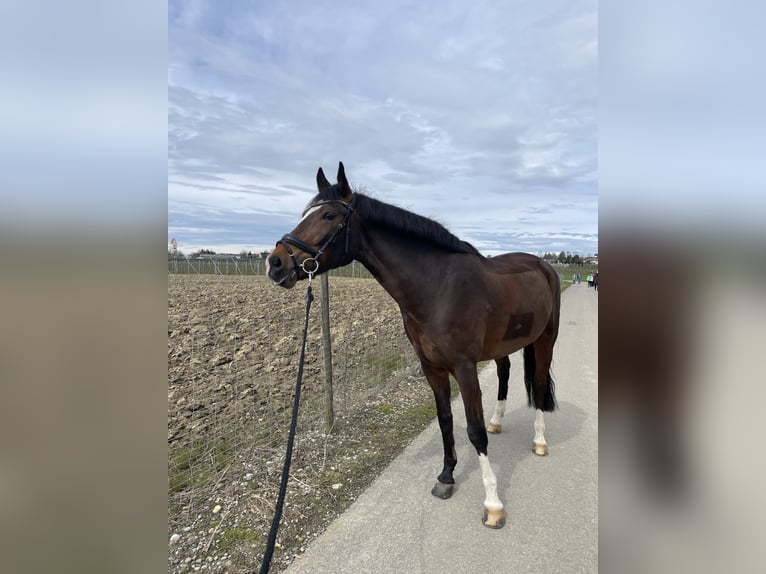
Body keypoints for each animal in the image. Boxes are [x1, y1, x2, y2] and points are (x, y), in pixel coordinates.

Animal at [267, 162, 560, 528]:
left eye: (329, 215)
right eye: (306, 213)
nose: (275, 263)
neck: (437, 287)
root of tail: (543, 265)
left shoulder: (465, 369)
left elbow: (474, 431)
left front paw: (493, 504)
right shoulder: (431, 368)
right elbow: (446, 420)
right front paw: (446, 477)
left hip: (546, 340)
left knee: (539, 384)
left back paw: (539, 441)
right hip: (503, 346)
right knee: (505, 374)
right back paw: (498, 420)